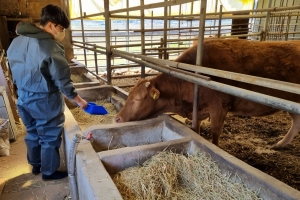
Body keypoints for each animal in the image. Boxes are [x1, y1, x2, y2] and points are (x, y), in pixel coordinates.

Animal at [114, 39, 300, 148]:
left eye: (138, 99)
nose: (117, 118)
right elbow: (196, 127)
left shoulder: (219, 107)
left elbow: (215, 133)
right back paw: (280, 144)